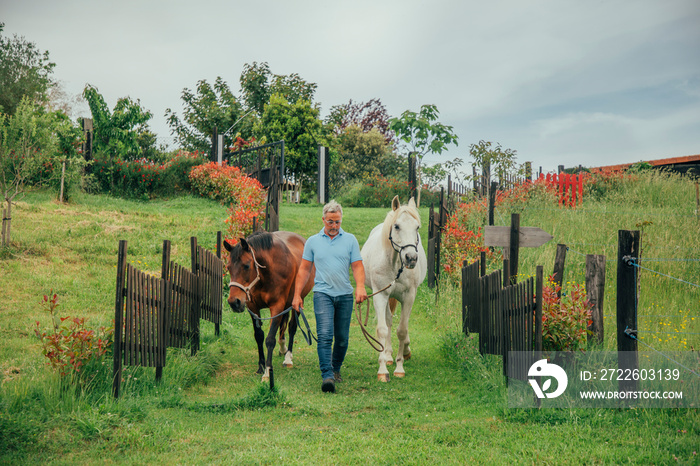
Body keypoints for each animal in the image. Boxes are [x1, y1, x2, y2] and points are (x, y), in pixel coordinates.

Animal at [224, 229, 314, 386]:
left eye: (246, 266)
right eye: (228, 267)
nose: (234, 302)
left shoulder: (277, 306)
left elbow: (270, 339)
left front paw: (267, 372)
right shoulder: (253, 307)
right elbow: (259, 336)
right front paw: (260, 366)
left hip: (298, 301)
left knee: (292, 326)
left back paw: (288, 358)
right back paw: (283, 348)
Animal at [360, 195, 426, 380]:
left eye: (417, 227)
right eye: (396, 226)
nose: (411, 258)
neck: (395, 264)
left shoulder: (409, 296)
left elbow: (402, 330)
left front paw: (399, 367)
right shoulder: (380, 295)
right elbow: (382, 329)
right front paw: (383, 369)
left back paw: (404, 351)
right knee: (388, 321)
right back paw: (388, 355)